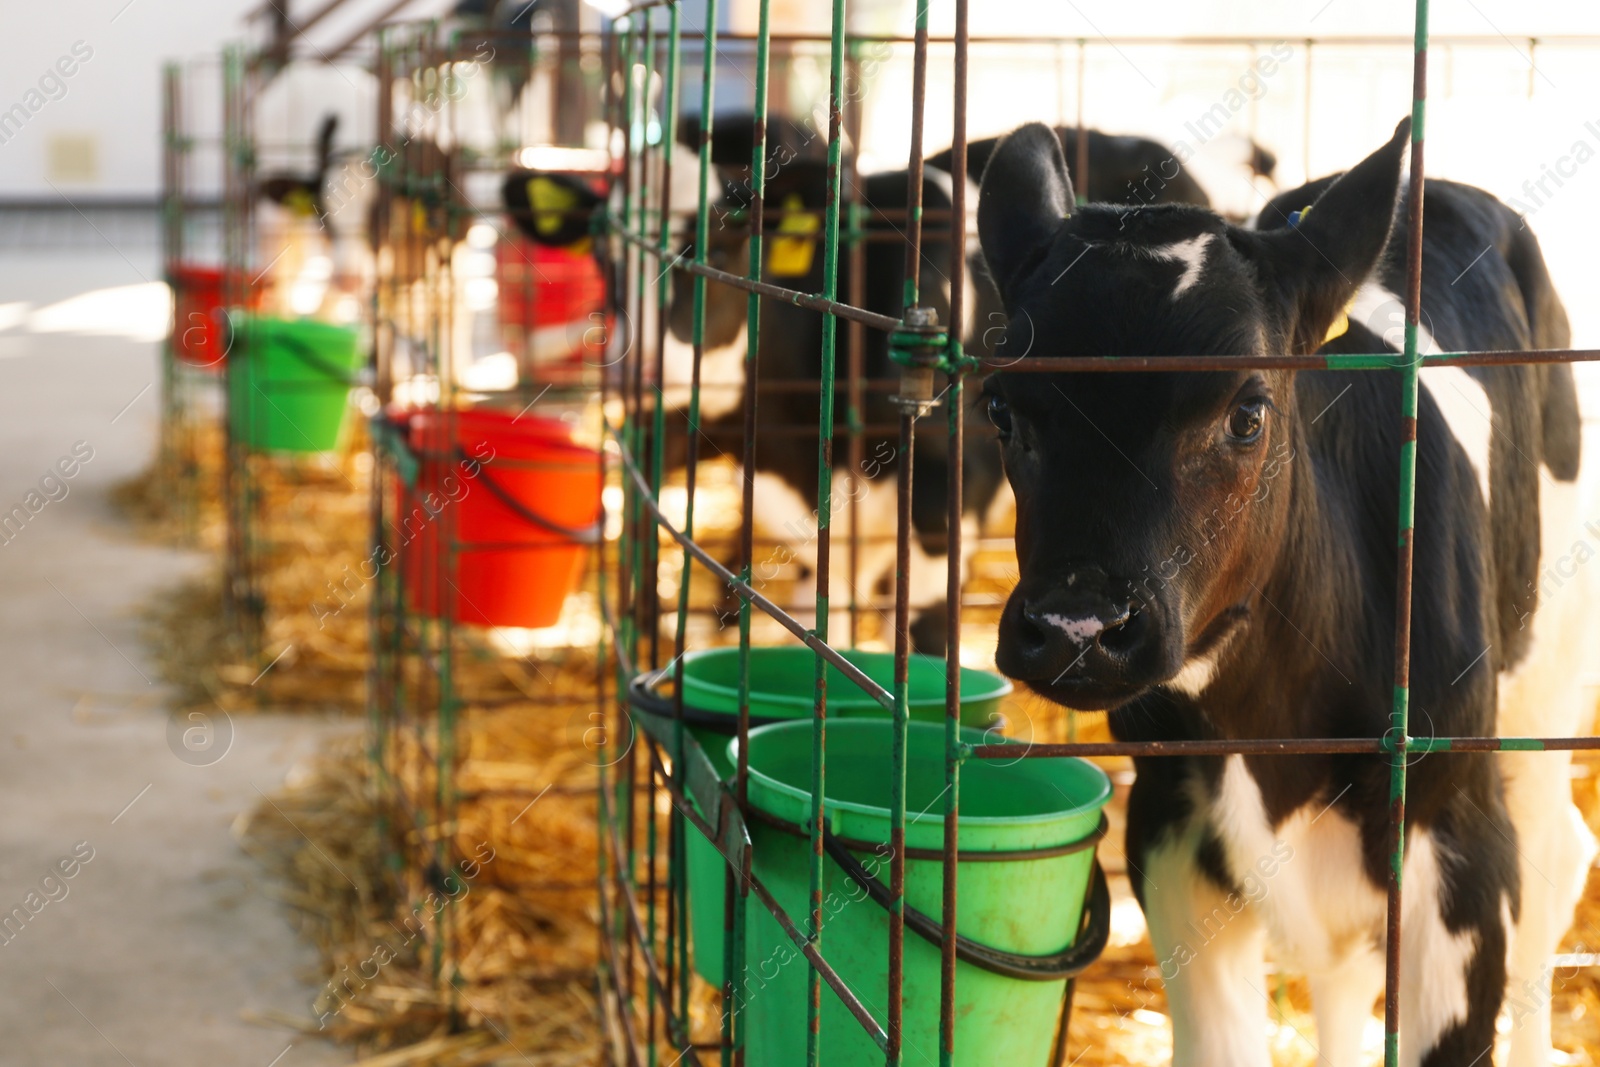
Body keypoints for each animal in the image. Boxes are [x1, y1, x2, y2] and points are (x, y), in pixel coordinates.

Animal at [979, 119, 1593, 1067]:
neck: (1277, 728)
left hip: (1549, 670)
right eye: (1002, 409)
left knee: (1554, 859)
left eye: (1247, 412)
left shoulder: (1459, 849)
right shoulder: (1169, 824)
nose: (1077, 625)